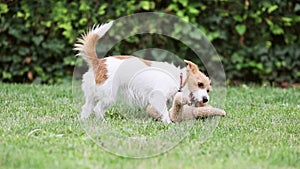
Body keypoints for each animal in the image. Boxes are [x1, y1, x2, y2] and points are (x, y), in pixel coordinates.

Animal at [74, 21, 212, 123]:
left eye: (208, 90)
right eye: (200, 84)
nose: (206, 100)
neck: (179, 78)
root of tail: (98, 63)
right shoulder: (157, 96)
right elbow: (164, 111)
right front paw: (168, 122)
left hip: (93, 95)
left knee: (87, 108)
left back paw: (84, 121)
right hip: (109, 96)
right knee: (97, 109)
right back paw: (103, 123)